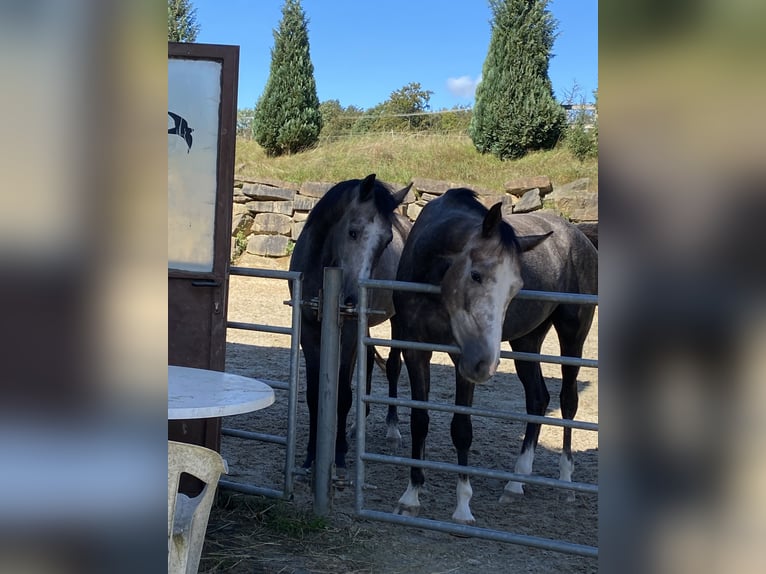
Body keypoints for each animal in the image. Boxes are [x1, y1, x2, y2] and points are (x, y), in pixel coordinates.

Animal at [288, 174, 412, 476]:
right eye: (353, 232)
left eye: (386, 241)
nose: (353, 299)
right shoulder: (308, 331)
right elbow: (314, 394)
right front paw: (311, 456)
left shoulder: (350, 332)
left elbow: (343, 393)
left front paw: (339, 454)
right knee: (367, 362)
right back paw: (359, 424)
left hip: (396, 321)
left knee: (393, 366)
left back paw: (393, 430)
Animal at [390, 190, 600, 528]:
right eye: (476, 275)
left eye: (515, 287)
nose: (485, 364)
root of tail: (580, 236)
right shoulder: (414, 350)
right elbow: (419, 421)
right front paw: (411, 496)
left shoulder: (462, 359)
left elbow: (461, 428)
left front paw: (463, 506)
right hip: (526, 340)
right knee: (538, 399)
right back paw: (516, 482)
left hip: (572, 335)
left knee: (568, 401)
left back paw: (565, 481)